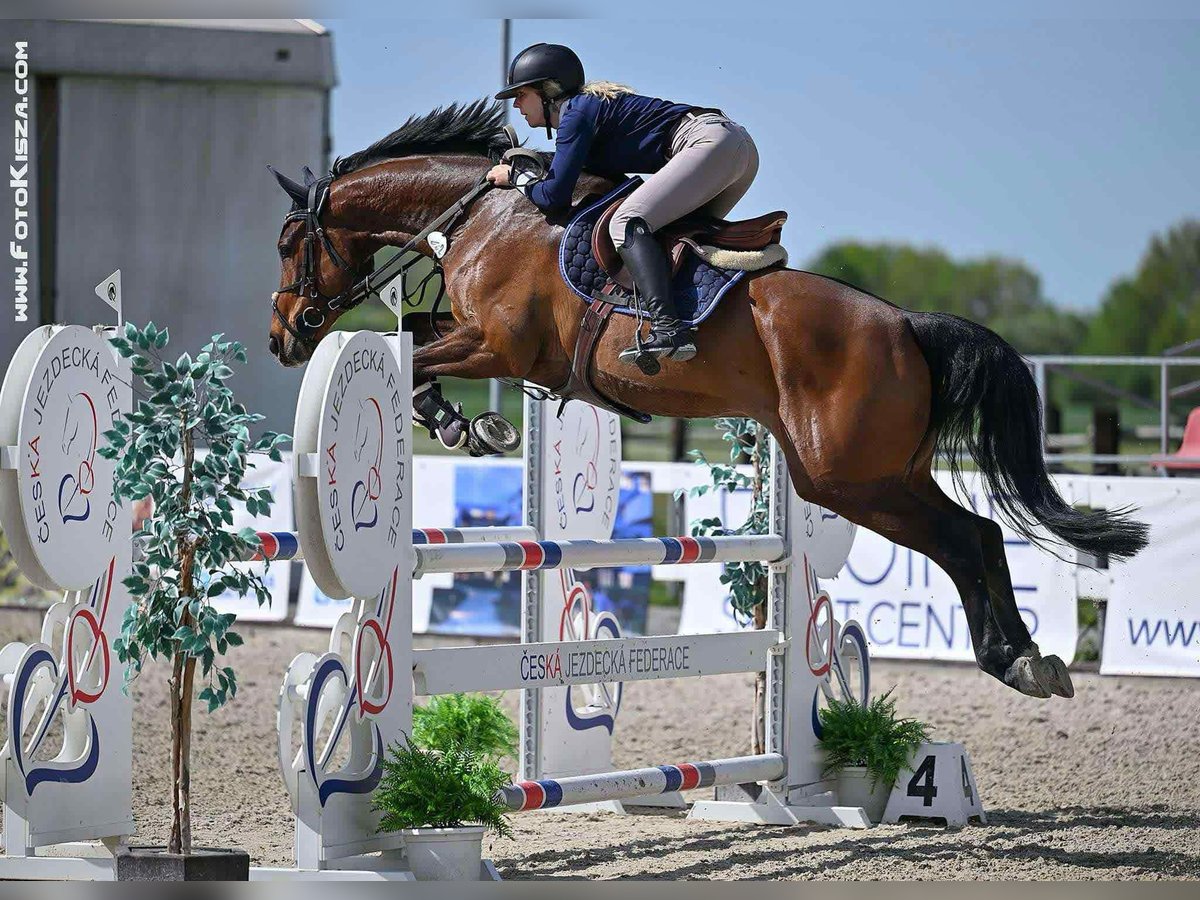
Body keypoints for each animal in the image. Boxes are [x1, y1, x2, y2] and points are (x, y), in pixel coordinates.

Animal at [267, 100, 1147, 705]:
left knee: (965, 539)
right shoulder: (481, 337)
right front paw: (460, 419)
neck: (485, 213)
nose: (283, 337)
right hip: (878, 471)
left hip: (850, 477)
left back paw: (1017, 661)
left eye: (287, 244)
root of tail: (905, 325)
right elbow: (417, 331)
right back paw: (1028, 659)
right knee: (984, 536)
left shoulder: (500, 346)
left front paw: (464, 421)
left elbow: (418, 357)